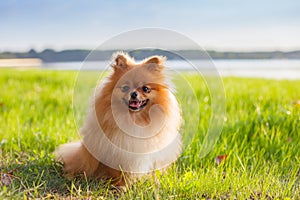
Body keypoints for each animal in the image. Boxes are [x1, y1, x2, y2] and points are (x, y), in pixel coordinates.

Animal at [55, 52, 183, 187]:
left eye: (145, 89)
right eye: (125, 88)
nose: (133, 93)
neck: (135, 119)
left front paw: (154, 183)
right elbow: (118, 173)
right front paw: (121, 185)